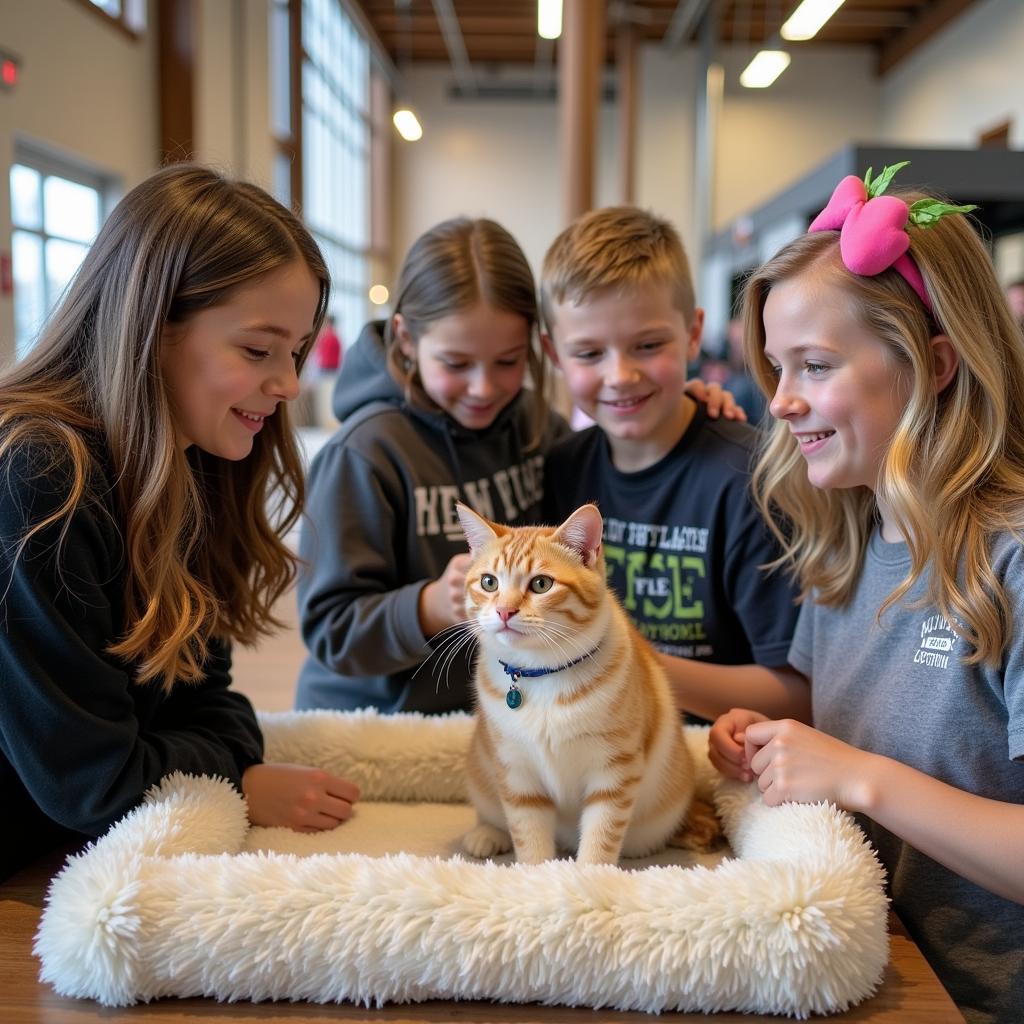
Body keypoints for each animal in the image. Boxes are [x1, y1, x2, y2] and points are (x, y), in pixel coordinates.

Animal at [452, 499, 716, 860]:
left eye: (541, 584)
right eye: (489, 582)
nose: (504, 611)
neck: (541, 674)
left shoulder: (615, 771)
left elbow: (601, 836)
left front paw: (589, 873)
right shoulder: (516, 773)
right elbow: (529, 838)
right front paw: (532, 872)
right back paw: (486, 834)